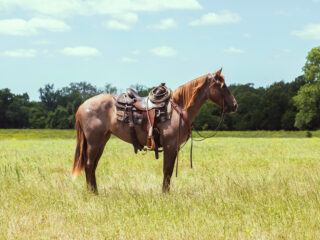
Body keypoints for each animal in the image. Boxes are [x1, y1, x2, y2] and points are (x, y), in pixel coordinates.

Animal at [72, 67, 238, 193]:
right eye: (222, 86)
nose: (234, 105)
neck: (179, 109)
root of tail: (82, 106)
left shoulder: (174, 147)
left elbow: (168, 171)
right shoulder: (170, 146)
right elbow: (167, 171)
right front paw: (165, 194)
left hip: (102, 141)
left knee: (93, 165)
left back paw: (94, 191)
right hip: (94, 142)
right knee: (89, 164)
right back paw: (92, 193)